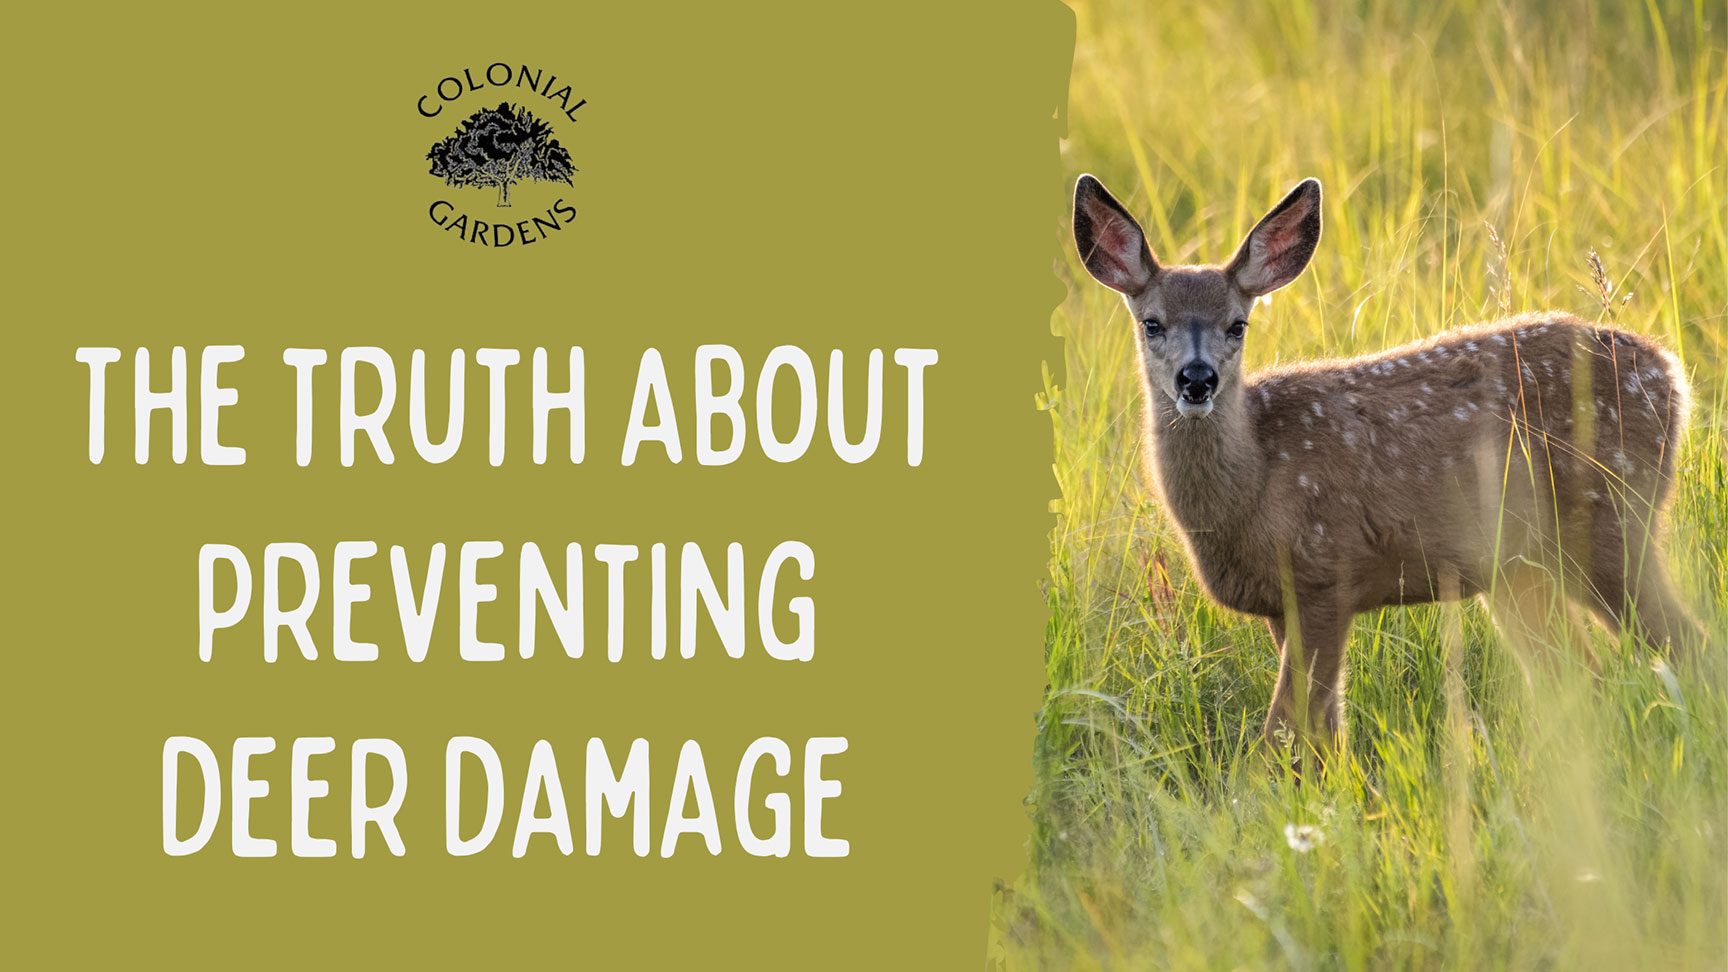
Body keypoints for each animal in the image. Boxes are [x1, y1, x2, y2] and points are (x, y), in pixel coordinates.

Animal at [1070, 173, 1703, 766]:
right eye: (1152, 323)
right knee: (1575, 675)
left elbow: (1285, 731)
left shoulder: (1325, 573)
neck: (1253, 484)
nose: (1197, 379)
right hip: (1518, 567)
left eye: (1237, 324)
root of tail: (1671, 374)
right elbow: (1323, 735)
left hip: (1611, 517)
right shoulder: (1281, 602)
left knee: (1685, 643)